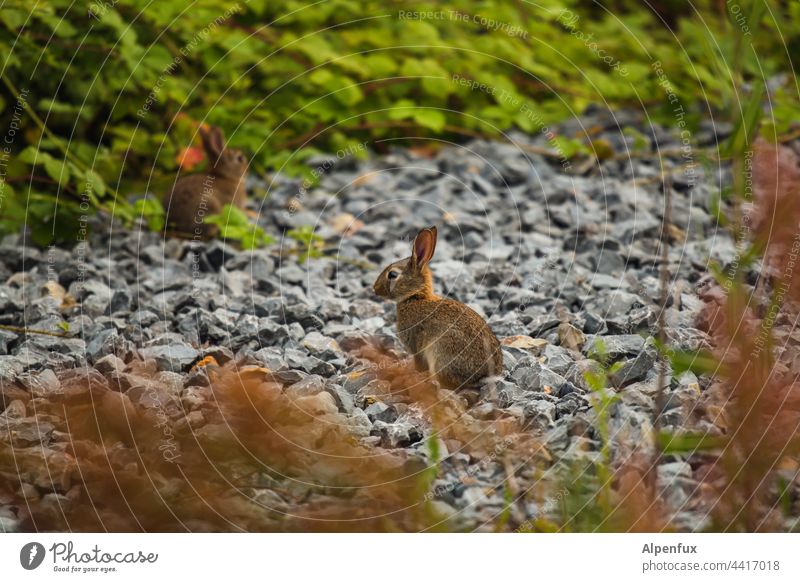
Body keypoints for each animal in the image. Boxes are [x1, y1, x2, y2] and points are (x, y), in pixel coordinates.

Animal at [374, 226, 500, 394]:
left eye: (392, 274)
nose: (375, 289)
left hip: (441, 354)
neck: (415, 296)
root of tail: (483, 376)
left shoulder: (416, 346)